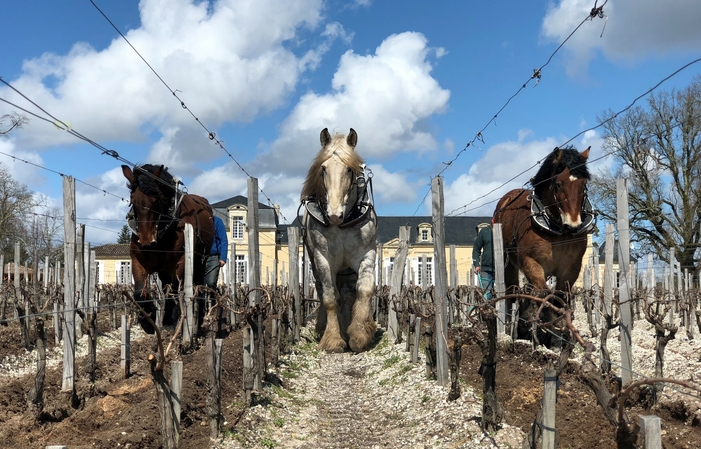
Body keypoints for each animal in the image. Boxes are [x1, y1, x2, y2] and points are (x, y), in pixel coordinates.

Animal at [121, 164, 213, 332]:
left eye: (156, 200)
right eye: (133, 200)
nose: (146, 240)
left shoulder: (181, 262)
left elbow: (176, 291)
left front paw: (177, 320)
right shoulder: (138, 261)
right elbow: (139, 293)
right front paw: (148, 320)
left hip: (200, 262)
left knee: (197, 287)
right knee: (166, 287)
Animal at [300, 128, 378, 352]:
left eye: (350, 169)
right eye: (323, 168)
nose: (335, 215)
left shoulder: (366, 254)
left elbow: (364, 289)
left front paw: (359, 334)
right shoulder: (323, 258)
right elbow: (329, 298)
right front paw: (334, 338)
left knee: (348, 293)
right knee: (325, 291)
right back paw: (324, 327)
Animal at [490, 146, 592, 344]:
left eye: (583, 184)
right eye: (558, 184)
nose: (573, 225)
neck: (559, 231)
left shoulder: (572, 268)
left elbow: (558, 295)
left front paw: (559, 328)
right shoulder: (531, 262)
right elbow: (544, 293)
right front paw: (545, 320)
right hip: (508, 262)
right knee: (513, 290)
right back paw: (513, 325)